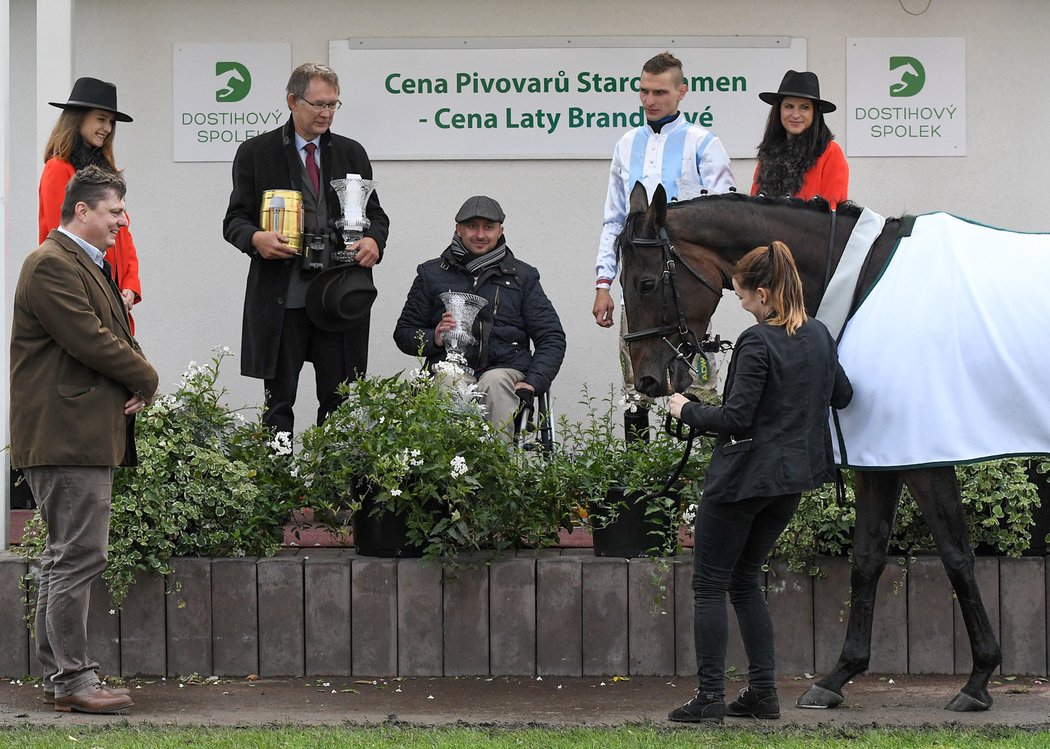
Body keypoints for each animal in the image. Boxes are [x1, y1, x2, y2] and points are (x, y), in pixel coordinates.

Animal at [617, 183, 1003, 710]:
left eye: (646, 283)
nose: (648, 380)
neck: (864, 278)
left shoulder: (924, 457)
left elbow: (957, 555)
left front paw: (979, 678)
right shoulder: (883, 459)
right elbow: (867, 557)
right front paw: (839, 675)